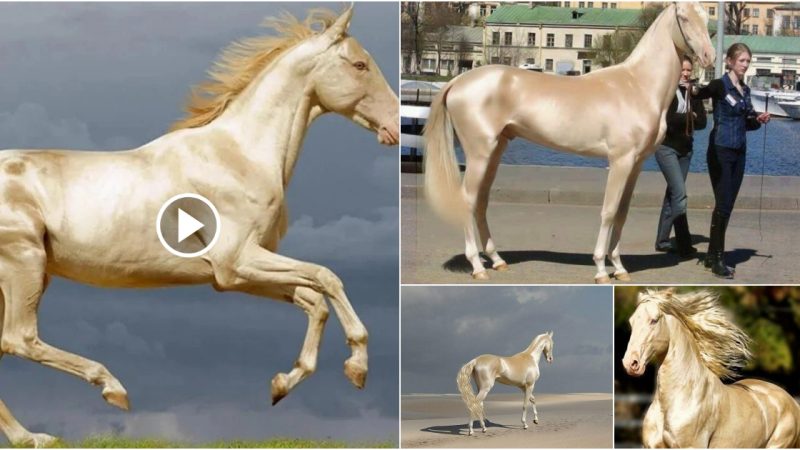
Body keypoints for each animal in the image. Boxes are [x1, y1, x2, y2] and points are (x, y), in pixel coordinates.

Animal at [0, 7, 400, 446]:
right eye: (360, 65)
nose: (397, 126)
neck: (238, 156)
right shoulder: (237, 260)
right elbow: (328, 278)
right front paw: (357, 368)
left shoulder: (235, 275)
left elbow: (313, 301)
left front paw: (281, 384)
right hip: (25, 265)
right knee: (21, 338)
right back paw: (110, 390)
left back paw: (32, 437)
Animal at [422, 3, 716, 284]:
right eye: (683, 17)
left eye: (706, 17)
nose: (709, 56)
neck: (637, 86)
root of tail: (458, 81)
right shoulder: (620, 161)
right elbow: (609, 212)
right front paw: (601, 269)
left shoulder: (636, 164)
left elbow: (622, 213)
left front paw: (620, 268)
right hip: (479, 153)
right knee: (467, 200)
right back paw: (477, 266)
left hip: (495, 151)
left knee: (481, 201)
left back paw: (496, 260)